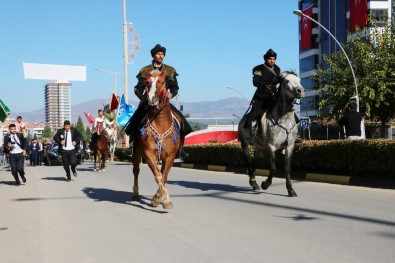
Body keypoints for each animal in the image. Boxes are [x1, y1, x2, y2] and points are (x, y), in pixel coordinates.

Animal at [133, 69, 183, 209]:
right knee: (136, 171)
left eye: (161, 82)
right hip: (137, 153)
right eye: (147, 83)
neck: (160, 123)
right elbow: (158, 176)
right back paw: (135, 193)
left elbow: (164, 176)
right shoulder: (149, 153)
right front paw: (161, 199)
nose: (151, 98)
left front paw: (162, 198)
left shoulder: (170, 156)